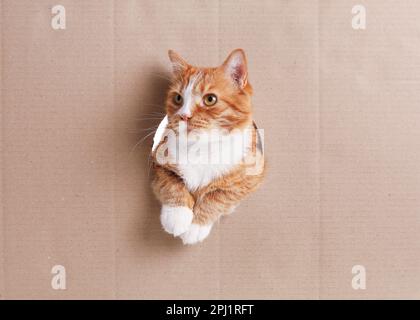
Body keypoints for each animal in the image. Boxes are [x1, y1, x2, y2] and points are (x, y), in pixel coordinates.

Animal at [151, 48, 264, 245]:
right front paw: (177, 216)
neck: (201, 148)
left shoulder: (251, 177)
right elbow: (172, 183)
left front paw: (196, 226)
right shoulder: (158, 162)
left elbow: (218, 195)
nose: (184, 116)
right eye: (178, 98)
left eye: (210, 99)